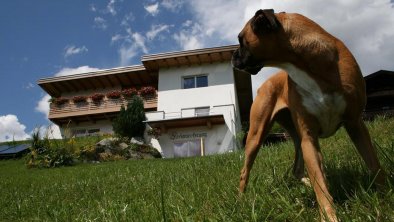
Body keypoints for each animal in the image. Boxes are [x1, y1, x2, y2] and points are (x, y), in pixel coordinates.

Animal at [232, 9, 386, 222]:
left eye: (241, 39)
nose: (233, 55)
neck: (305, 64)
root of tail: (265, 84)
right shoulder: (309, 139)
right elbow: (320, 185)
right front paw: (329, 216)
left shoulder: (356, 124)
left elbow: (374, 164)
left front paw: (384, 198)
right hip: (256, 137)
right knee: (244, 171)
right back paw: (240, 201)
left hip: (296, 138)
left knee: (297, 169)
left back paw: (304, 182)